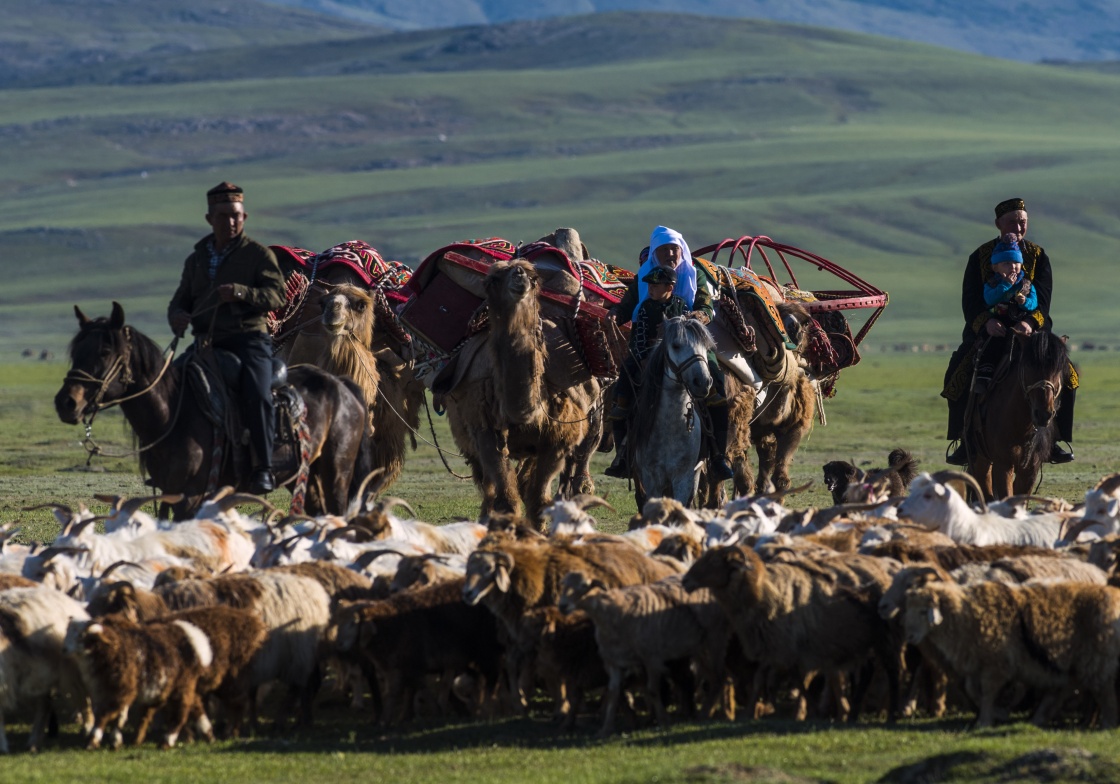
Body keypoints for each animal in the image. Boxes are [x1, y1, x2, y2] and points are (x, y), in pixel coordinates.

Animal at [55, 302, 367, 517]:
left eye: (105, 352)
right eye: (76, 352)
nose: (66, 402)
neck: (172, 413)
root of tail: (341, 384)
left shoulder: (191, 496)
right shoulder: (169, 491)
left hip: (337, 471)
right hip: (304, 472)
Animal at [443, 259, 604, 524]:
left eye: (533, 276)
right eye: (494, 278)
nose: (519, 275)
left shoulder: (558, 439)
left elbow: (538, 499)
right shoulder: (485, 431)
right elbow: (506, 498)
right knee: (486, 481)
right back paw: (485, 516)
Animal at [963, 331, 1066, 501]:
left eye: (1057, 369)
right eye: (1028, 365)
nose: (1043, 414)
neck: (1021, 427)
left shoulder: (1030, 471)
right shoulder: (1003, 466)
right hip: (981, 458)